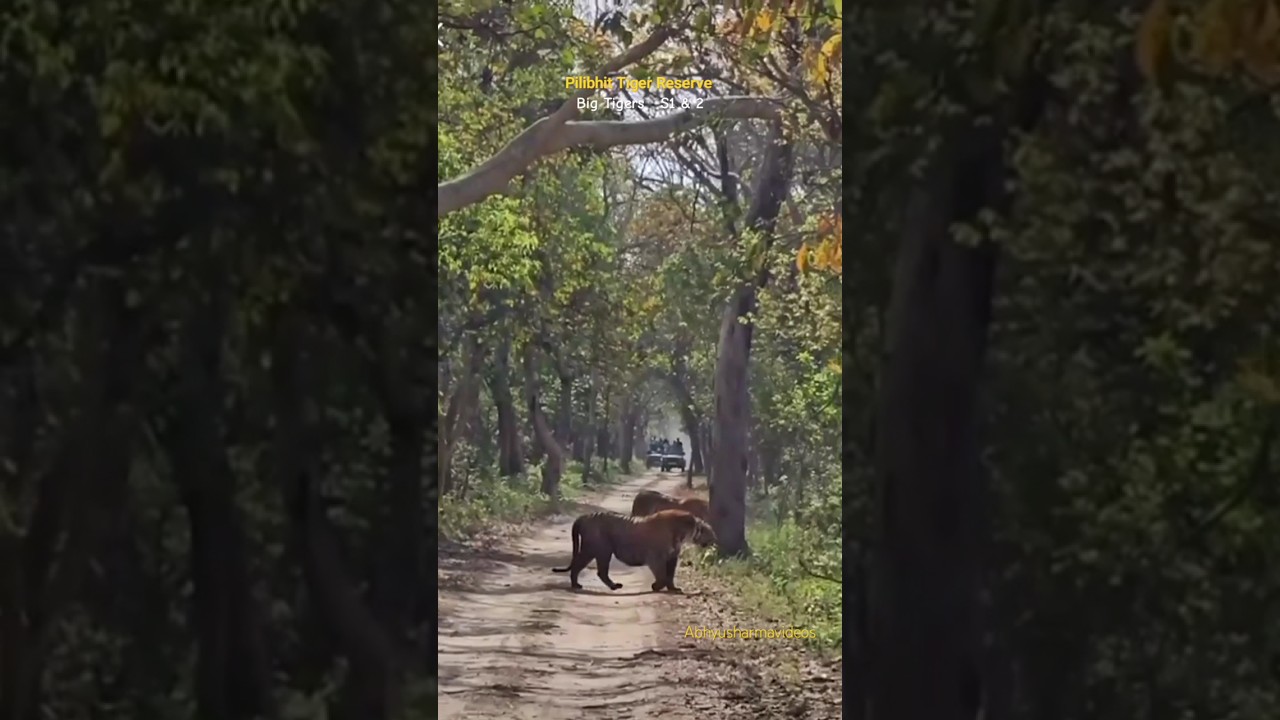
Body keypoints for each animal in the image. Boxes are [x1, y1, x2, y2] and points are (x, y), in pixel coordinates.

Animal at [551, 509, 717, 593]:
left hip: (600, 551)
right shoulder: (656, 557)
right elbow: (663, 576)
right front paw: (656, 587)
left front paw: (673, 588)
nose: (715, 540)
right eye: (711, 532)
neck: (684, 532)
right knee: (582, 566)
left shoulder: (672, 557)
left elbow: (670, 575)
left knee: (598, 571)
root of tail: (584, 516)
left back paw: (612, 586)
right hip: (596, 550)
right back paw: (576, 585)